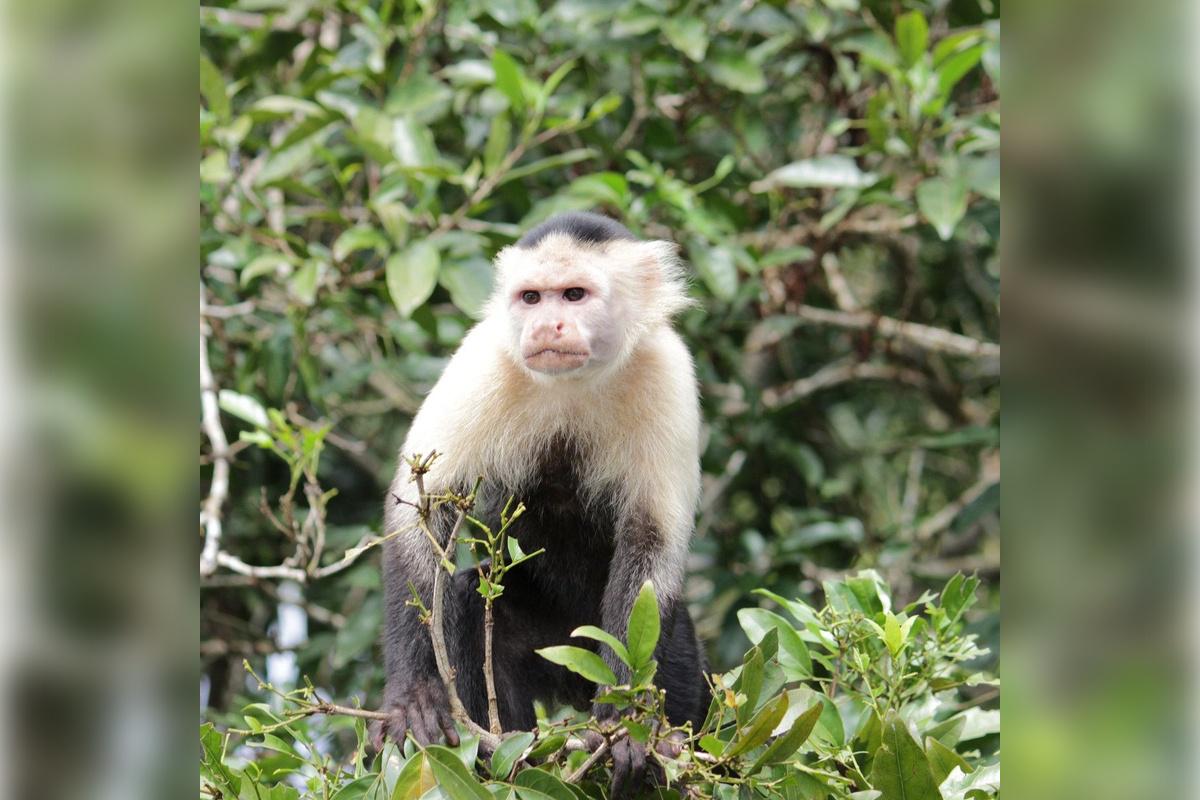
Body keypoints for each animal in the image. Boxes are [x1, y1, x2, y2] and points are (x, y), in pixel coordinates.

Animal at [373, 212, 707, 796]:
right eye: (531, 297)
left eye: (574, 295)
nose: (547, 325)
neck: (578, 381)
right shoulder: (484, 360)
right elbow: (419, 511)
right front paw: (413, 695)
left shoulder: (667, 371)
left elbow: (651, 541)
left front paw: (624, 725)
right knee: (472, 601)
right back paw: (500, 753)